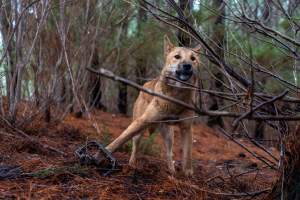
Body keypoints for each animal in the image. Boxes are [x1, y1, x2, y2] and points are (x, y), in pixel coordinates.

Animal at [105, 36, 202, 177]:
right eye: (177, 56)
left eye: (193, 59)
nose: (187, 65)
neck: (176, 97)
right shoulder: (143, 121)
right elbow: (120, 139)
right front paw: (104, 151)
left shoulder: (186, 128)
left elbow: (187, 155)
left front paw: (188, 173)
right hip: (139, 130)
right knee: (135, 147)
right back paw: (131, 165)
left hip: (169, 135)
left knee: (169, 154)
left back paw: (172, 172)